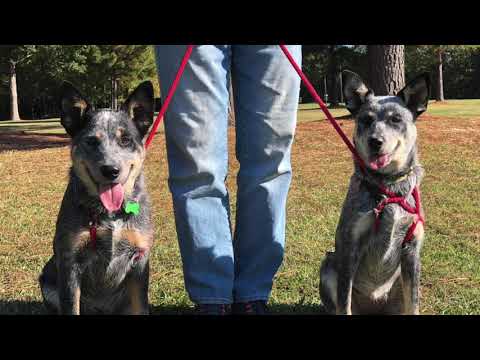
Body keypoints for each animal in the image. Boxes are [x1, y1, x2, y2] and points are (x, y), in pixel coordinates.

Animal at [39, 80, 156, 314]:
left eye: (126, 139)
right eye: (91, 141)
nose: (110, 170)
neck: (110, 214)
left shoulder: (140, 262)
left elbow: (141, 307)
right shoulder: (70, 263)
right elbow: (71, 307)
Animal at [320, 70, 430, 316]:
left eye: (396, 119)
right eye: (366, 119)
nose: (375, 141)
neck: (389, 190)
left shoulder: (412, 252)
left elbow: (414, 303)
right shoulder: (350, 246)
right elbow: (344, 303)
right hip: (329, 264)